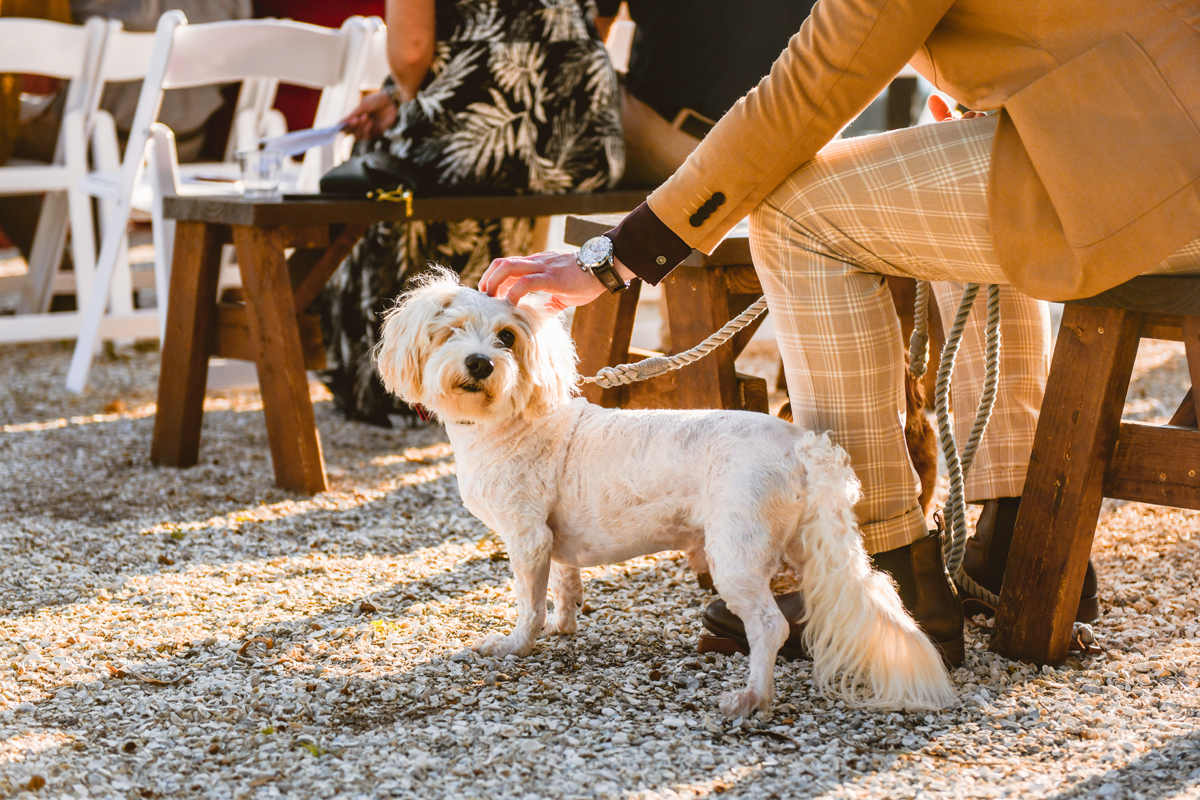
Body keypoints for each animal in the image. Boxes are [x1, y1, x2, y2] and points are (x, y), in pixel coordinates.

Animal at [374, 271, 955, 719]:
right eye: (451, 331)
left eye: (507, 338)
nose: (479, 363)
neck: (511, 420)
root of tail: (803, 445)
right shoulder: (551, 540)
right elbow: (564, 584)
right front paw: (565, 624)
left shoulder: (526, 536)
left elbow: (529, 602)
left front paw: (516, 644)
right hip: (806, 546)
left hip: (736, 554)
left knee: (770, 627)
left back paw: (753, 698)